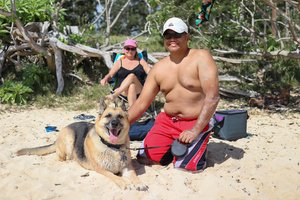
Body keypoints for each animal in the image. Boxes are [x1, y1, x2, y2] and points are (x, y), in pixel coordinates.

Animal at [16, 98, 148, 191]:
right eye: (108, 116)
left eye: (120, 117)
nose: (114, 123)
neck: (112, 147)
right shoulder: (102, 169)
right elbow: (115, 177)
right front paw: (124, 183)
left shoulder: (128, 168)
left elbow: (135, 176)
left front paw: (139, 183)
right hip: (69, 139)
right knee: (61, 158)